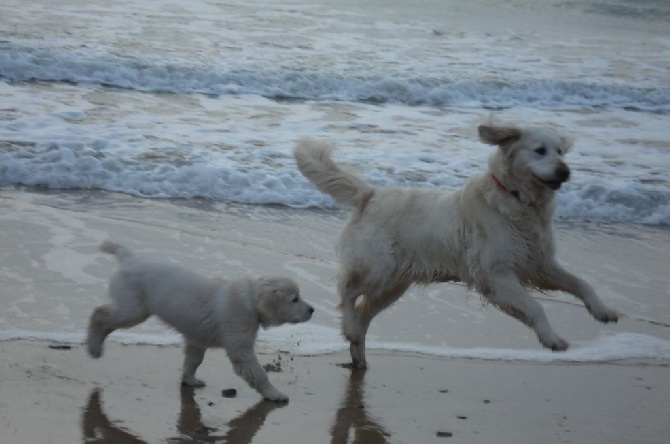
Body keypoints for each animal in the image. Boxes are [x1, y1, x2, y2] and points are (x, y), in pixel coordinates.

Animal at [88, 241, 316, 400]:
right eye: (294, 299)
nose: (312, 310)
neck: (251, 301)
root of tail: (128, 259)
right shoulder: (240, 349)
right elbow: (259, 373)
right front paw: (274, 394)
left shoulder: (196, 340)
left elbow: (193, 361)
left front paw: (189, 380)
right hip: (132, 309)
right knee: (100, 314)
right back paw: (94, 348)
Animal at [296, 123, 624, 370]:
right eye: (539, 150)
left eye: (560, 151)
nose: (565, 171)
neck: (519, 202)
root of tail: (372, 194)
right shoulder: (494, 274)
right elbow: (535, 305)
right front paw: (552, 339)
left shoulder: (539, 263)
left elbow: (580, 283)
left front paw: (603, 310)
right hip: (379, 269)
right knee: (347, 290)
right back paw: (350, 330)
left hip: (394, 284)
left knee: (363, 311)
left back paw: (358, 353)